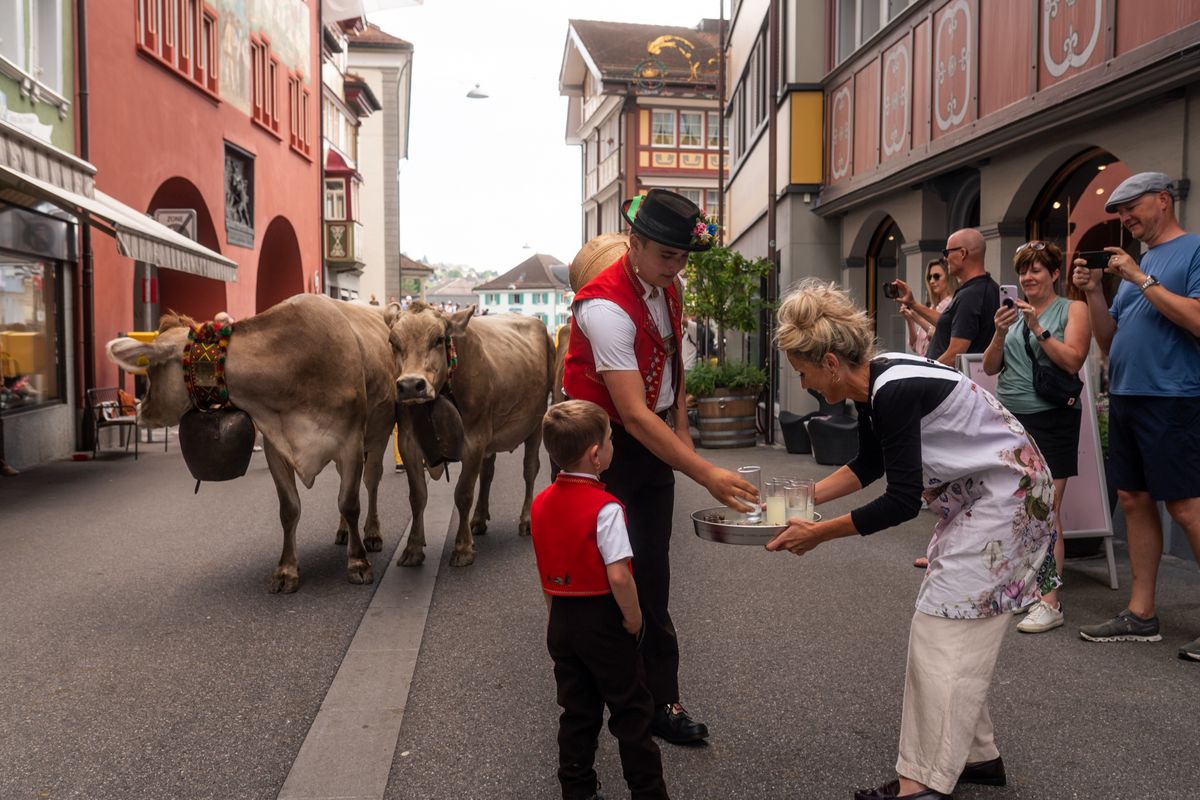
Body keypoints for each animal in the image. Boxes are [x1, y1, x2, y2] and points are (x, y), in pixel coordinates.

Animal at [106, 296, 396, 594]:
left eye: (153, 369)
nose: (140, 409)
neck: (293, 365)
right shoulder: (275, 447)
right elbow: (289, 509)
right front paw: (286, 570)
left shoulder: (350, 442)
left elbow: (349, 502)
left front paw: (358, 563)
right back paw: (343, 532)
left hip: (379, 433)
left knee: (371, 481)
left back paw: (372, 533)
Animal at [384, 302, 552, 568]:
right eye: (393, 341)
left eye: (438, 339)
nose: (410, 385)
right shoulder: (407, 443)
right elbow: (417, 496)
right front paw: (412, 548)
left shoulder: (475, 440)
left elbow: (463, 493)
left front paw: (462, 547)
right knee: (488, 473)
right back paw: (479, 519)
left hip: (535, 422)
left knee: (529, 470)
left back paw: (526, 520)